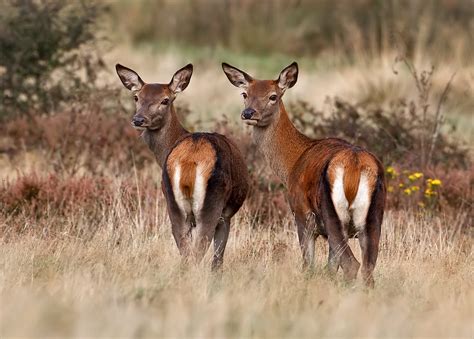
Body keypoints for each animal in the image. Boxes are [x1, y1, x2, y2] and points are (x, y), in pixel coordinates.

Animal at [116, 63, 250, 270]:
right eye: (136, 97)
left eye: (165, 100)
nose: (138, 119)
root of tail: (189, 161)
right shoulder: (226, 215)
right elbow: (217, 260)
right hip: (212, 203)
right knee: (197, 252)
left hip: (172, 202)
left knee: (185, 251)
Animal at [222, 61, 386, 286]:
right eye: (244, 93)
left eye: (273, 96)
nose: (248, 113)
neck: (292, 164)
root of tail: (355, 166)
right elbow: (330, 267)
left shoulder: (302, 214)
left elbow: (309, 265)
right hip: (374, 217)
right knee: (368, 267)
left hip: (331, 213)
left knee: (352, 264)